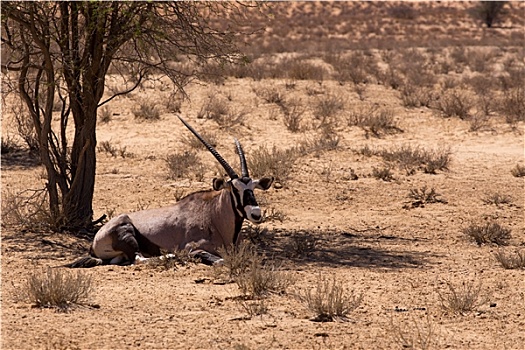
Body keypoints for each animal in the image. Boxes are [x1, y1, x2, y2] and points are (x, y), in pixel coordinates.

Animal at [66, 115, 274, 268]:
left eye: (253, 188)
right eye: (235, 189)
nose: (256, 214)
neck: (213, 215)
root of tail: (94, 242)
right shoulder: (193, 249)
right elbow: (220, 260)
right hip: (127, 232)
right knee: (138, 259)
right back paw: (171, 256)